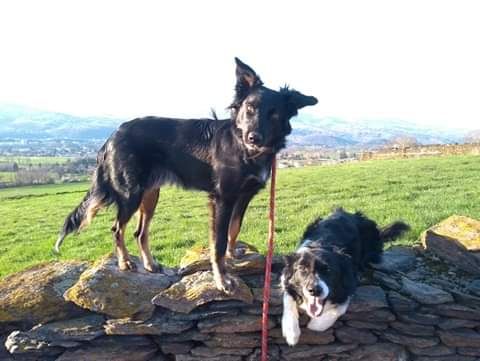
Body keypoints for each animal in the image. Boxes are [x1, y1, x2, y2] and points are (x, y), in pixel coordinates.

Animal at [55, 57, 318, 292]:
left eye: (274, 113)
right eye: (250, 108)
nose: (253, 137)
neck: (243, 149)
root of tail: (113, 135)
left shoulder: (244, 196)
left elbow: (234, 228)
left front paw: (233, 254)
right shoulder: (222, 198)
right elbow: (218, 242)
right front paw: (222, 280)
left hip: (150, 194)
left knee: (139, 232)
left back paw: (150, 264)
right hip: (130, 193)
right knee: (117, 229)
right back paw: (125, 262)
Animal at [282, 208, 408, 346]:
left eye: (328, 270)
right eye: (302, 269)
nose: (314, 290)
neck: (320, 245)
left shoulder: (349, 281)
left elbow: (339, 306)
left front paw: (316, 325)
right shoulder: (287, 279)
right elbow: (288, 296)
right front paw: (291, 333)